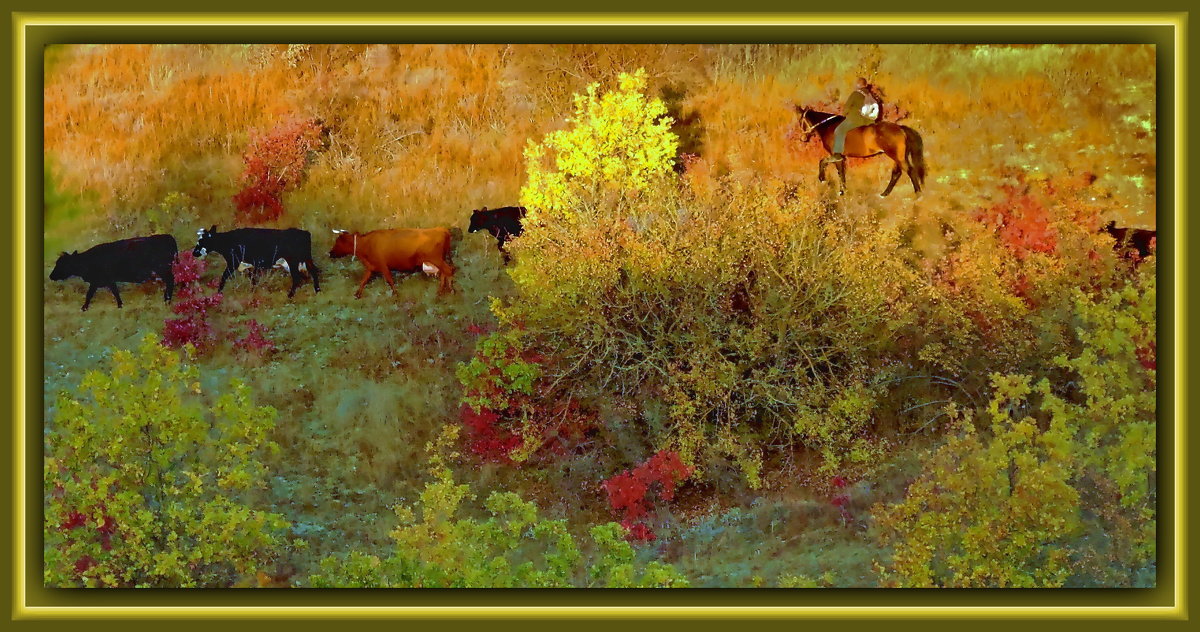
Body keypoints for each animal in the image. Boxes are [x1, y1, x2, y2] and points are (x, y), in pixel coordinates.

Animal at [48, 233, 176, 309]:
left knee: (170, 281)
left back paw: (167, 300)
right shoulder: (105, 281)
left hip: (162, 269)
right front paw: (120, 305)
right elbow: (114, 292)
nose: (51, 276)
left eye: (61, 264)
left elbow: (90, 295)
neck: (87, 261)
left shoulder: (99, 281)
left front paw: (84, 308)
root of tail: (167, 236)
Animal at [193, 226, 321, 298]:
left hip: (293, 261)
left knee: (297, 277)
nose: (194, 252)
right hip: (306, 259)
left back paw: (290, 295)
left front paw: (218, 293)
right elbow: (253, 279)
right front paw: (253, 291)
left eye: (202, 240)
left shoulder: (233, 262)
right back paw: (317, 290)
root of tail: (304, 233)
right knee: (314, 272)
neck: (228, 241)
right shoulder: (250, 265)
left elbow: (224, 277)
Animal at [796, 104, 926, 197]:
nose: (802, 138)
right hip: (897, 157)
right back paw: (884, 194)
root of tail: (901, 128)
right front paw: (842, 191)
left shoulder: (835, 155)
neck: (829, 127)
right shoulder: (840, 157)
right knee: (896, 173)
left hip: (897, 157)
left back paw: (917, 193)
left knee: (909, 170)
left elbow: (823, 162)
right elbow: (841, 173)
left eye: (801, 121)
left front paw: (822, 179)